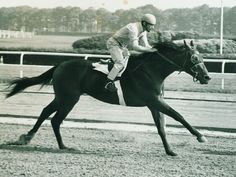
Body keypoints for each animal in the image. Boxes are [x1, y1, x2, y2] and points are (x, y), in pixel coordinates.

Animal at [6, 40, 211, 156]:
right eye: (194, 58)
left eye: (202, 57)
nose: (207, 77)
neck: (151, 71)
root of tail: (60, 64)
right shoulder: (155, 101)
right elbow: (178, 116)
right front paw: (200, 136)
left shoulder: (154, 104)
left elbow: (161, 128)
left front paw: (169, 151)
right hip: (69, 98)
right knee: (55, 119)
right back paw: (57, 144)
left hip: (63, 97)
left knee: (47, 113)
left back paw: (32, 138)